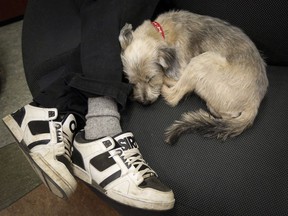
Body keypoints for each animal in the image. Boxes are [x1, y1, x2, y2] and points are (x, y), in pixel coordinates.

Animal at [118, 10, 268, 145]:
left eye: (151, 78)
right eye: (132, 82)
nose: (144, 102)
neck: (161, 31)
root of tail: (254, 103)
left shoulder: (180, 69)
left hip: (201, 60)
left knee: (174, 96)